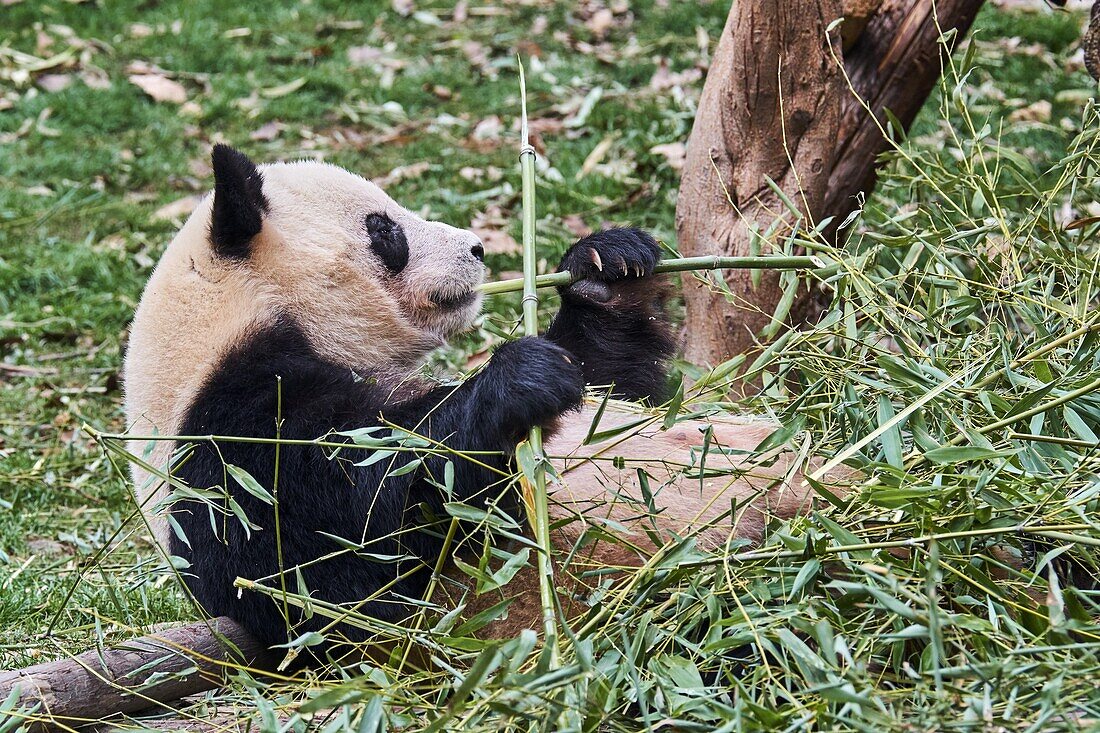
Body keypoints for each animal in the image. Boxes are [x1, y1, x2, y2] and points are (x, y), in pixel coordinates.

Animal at [122, 145, 840, 647]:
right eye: (384, 228)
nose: (476, 247)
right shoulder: (225, 441)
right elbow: (346, 535)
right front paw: (516, 382)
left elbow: (610, 388)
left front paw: (605, 267)